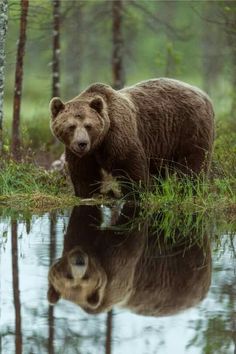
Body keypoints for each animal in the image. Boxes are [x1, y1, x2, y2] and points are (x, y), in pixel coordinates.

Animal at [49, 78, 214, 198]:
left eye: (89, 125)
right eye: (71, 126)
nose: (81, 143)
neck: (99, 142)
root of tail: (204, 95)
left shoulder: (118, 135)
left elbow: (130, 166)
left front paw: (137, 193)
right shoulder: (81, 153)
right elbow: (84, 174)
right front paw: (86, 193)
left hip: (189, 127)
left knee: (192, 163)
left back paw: (188, 189)